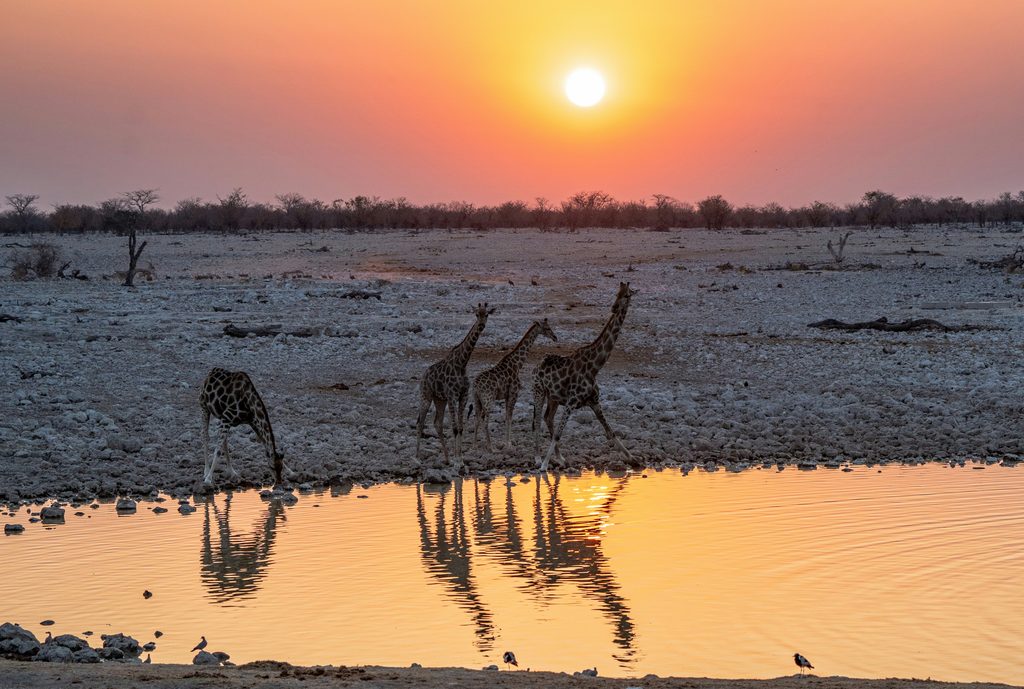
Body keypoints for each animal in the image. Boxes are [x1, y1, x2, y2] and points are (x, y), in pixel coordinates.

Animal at [416, 303, 496, 465]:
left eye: (487, 314)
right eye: (476, 314)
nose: (481, 325)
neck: (462, 363)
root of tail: (424, 375)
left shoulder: (463, 396)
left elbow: (460, 427)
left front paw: (460, 458)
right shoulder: (452, 396)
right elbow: (454, 428)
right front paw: (456, 459)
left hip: (439, 399)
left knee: (437, 423)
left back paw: (446, 458)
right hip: (426, 395)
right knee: (421, 422)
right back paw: (416, 456)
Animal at [469, 318, 558, 451]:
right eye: (547, 328)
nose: (555, 337)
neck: (517, 365)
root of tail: (475, 385)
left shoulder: (507, 396)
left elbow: (506, 417)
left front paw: (506, 442)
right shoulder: (513, 394)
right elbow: (509, 418)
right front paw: (508, 443)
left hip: (477, 399)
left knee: (476, 418)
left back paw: (474, 445)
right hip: (488, 399)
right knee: (485, 419)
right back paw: (491, 447)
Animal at [532, 282, 636, 471]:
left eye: (626, 295)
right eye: (617, 293)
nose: (614, 307)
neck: (595, 367)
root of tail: (536, 366)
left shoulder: (594, 402)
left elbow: (610, 431)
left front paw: (634, 460)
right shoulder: (571, 402)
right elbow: (558, 434)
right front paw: (543, 465)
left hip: (553, 397)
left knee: (547, 418)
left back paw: (561, 459)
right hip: (538, 391)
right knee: (537, 421)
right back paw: (537, 458)